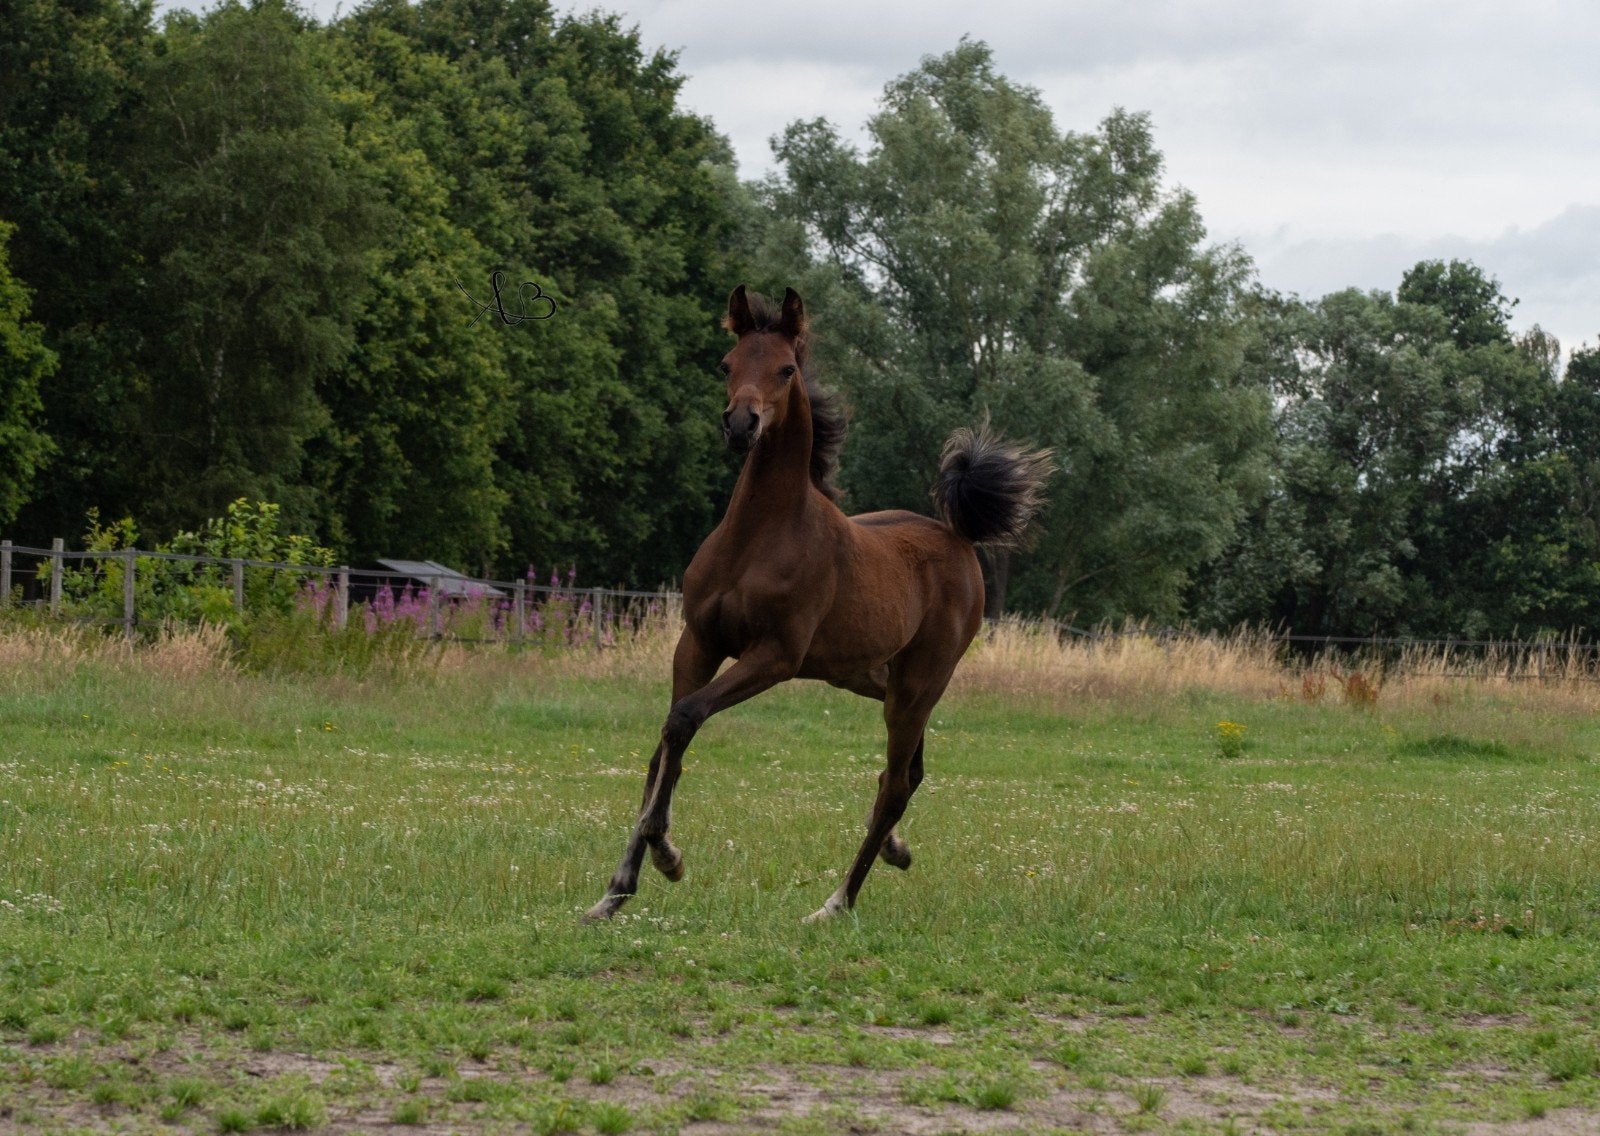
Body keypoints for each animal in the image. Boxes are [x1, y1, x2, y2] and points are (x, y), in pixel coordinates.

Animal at [585, 286, 1053, 924]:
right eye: (727, 364)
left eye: (786, 369)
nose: (741, 424)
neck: (758, 536)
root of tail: (959, 539)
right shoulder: (698, 643)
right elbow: (664, 747)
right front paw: (615, 890)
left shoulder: (775, 656)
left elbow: (684, 720)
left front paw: (665, 854)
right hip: (869, 676)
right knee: (908, 771)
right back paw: (895, 852)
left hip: (918, 685)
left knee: (894, 783)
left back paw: (836, 902)